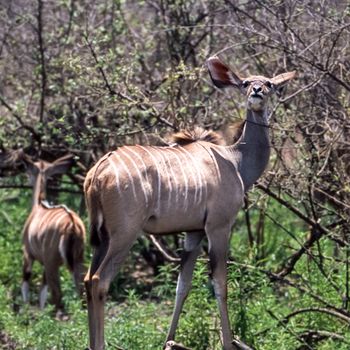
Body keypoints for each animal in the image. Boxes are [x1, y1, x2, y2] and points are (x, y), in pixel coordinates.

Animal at [21, 155, 86, 312]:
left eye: (29, 170)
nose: (26, 177)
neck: (39, 205)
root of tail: (72, 225)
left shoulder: (28, 253)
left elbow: (27, 283)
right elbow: (42, 292)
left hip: (53, 262)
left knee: (57, 294)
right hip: (78, 259)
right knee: (82, 290)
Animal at [84, 57, 296, 350]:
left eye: (269, 83)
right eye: (244, 83)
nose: (256, 91)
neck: (236, 160)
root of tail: (98, 172)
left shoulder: (193, 232)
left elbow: (182, 285)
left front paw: (169, 341)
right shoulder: (218, 227)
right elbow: (220, 284)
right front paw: (228, 342)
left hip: (103, 237)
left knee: (86, 280)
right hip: (124, 234)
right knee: (99, 281)